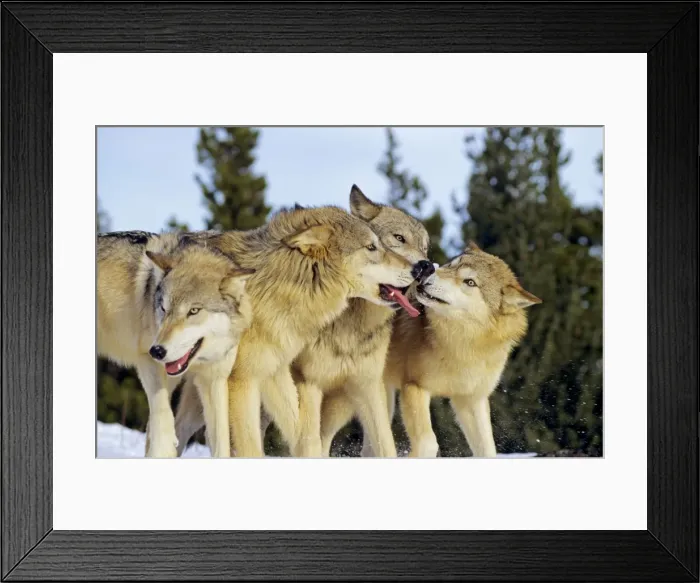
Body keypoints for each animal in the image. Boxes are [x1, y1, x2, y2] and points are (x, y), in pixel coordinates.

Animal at [97, 231, 254, 458]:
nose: (157, 350)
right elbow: (162, 419)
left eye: (194, 311)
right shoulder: (147, 361)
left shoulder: (213, 380)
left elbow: (221, 440)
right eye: (164, 309)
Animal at [321, 242, 541, 457]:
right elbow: (428, 443)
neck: (460, 344)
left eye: (470, 282)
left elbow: (488, 450)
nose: (427, 271)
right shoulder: (414, 387)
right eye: (451, 264)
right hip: (348, 400)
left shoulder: (471, 400)